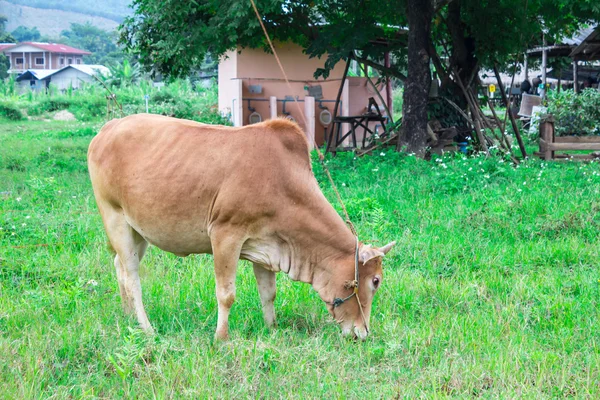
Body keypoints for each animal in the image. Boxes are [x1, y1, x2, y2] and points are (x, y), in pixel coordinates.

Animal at [88, 113, 394, 340]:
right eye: (375, 281)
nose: (363, 333)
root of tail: (106, 129)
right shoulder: (225, 234)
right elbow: (226, 294)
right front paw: (221, 337)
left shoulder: (268, 246)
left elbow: (268, 293)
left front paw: (272, 328)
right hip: (114, 217)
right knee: (132, 277)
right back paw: (147, 328)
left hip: (138, 231)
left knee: (119, 267)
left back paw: (128, 317)